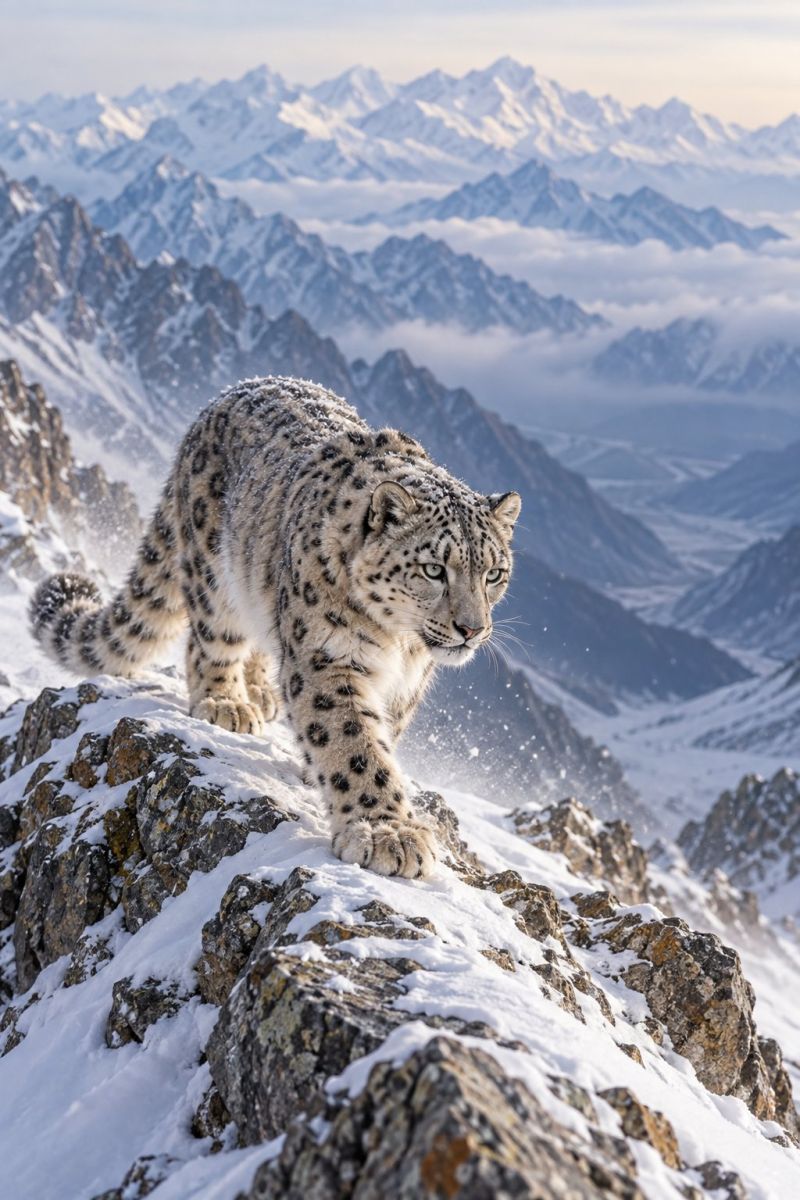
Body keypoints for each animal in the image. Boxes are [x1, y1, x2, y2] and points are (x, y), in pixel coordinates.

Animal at [30, 376, 521, 879]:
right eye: (434, 569)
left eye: (494, 574)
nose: (472, 629)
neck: (399, 645)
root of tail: (226, 395)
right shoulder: (327, 658)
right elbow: (355, 743)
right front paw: (387, 832)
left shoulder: (407, 684)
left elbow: (380, 732)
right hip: (214, 577)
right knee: (210, 641)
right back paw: (226, 702)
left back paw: (261, 693)